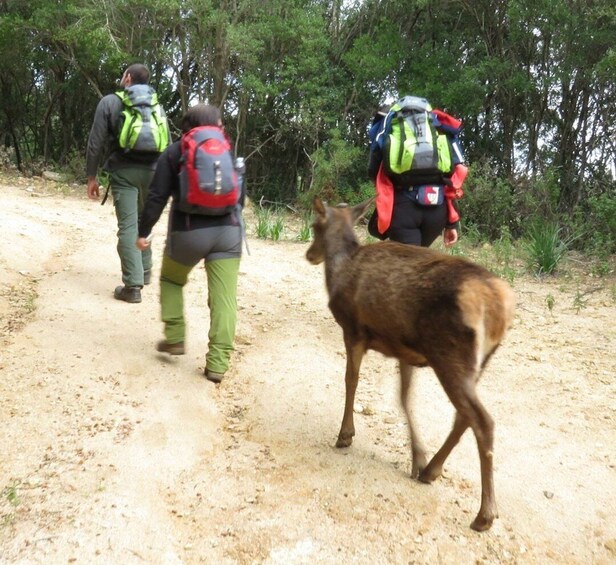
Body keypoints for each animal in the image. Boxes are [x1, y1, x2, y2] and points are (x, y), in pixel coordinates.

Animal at [306, 196, 516, 532]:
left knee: (482, 420)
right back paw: (431, 470)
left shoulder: (353, 329)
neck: (339, 272)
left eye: (315, 226)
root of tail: (499, 308)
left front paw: (345, 435)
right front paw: (417, 458)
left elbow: (351, 380)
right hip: (477, 361)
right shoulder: (405, 350)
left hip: (451, 355)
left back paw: (484, 515)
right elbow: (404, 397)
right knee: (464, 416)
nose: (309, 254)